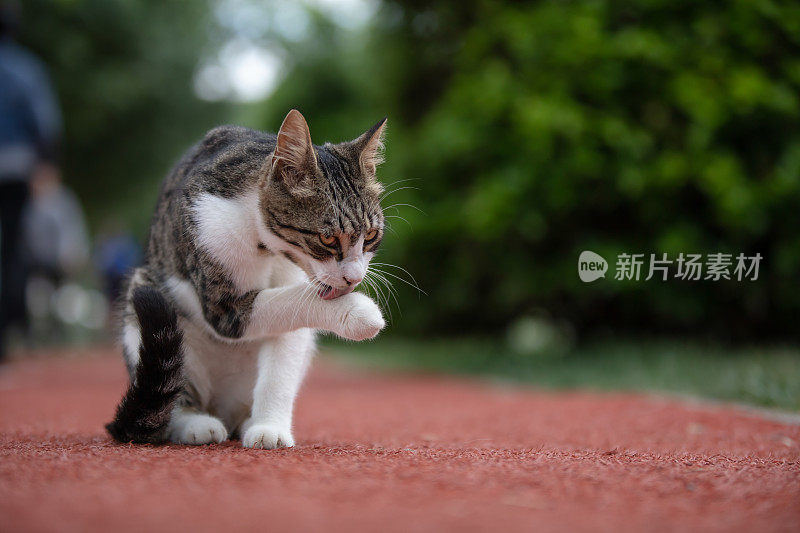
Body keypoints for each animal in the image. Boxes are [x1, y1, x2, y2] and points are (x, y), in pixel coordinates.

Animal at [105, 110, 388, 446]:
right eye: (327, 239)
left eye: (370, 236)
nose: (354, 277)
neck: (264, 244)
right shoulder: (224, 308)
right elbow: (292, 301)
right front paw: (359, 312)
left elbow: (282, 361)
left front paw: (270, 427)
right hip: (145, 293)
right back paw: (194, 423)